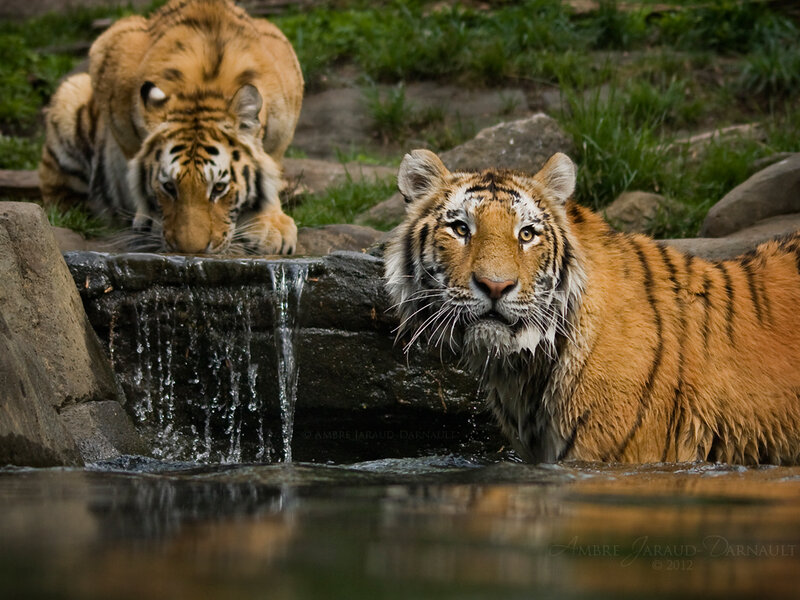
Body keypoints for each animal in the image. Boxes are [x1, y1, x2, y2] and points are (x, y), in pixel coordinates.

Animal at [39, 0, 303, 254]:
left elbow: (271, 163)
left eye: (218, 188)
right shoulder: (109, 50)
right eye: (169, 187)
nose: (191, 250)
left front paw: (270, 226)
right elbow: (134, 157)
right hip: (71, 95)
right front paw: (149, 216)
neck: (203, 89)